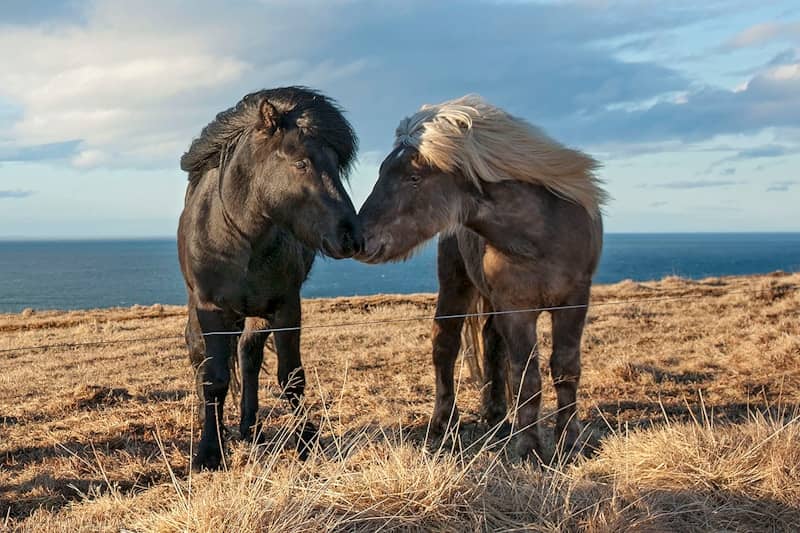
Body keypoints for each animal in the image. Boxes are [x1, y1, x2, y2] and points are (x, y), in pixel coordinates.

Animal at [178, 87, 361, 470]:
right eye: (301, 163)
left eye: (336, 165)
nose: (352, 235)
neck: (241, 239)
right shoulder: (211, 308)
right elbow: (214, 379)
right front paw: (209, 452)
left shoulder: (286, 305)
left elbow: (291, 377)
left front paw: (307, 444)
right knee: (201, 359)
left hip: (257, 313)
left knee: (248, 356)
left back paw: (250, 427)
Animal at [356, 95, 606, 460]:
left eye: (413, 177)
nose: (357, 238)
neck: (540, 235)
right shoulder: (516, 309)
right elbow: (526, 377)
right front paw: (529, 450)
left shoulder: (574, 301)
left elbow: (565, 370)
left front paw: (570, 444)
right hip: (456, 284)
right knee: (445, 344)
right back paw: (444, 423)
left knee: (491, 343)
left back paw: (497, 415)